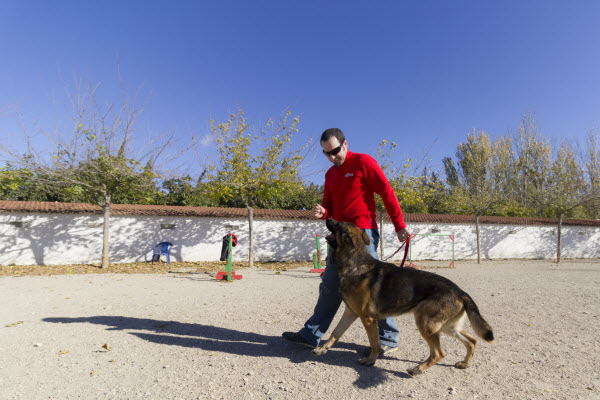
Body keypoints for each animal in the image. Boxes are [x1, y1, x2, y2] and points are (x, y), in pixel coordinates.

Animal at [312, 219, 494, 376]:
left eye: (337, 224)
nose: (327, 217)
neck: (355, 265)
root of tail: (460, 291)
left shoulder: (367, 319)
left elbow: (373, 343)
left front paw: (370, 360)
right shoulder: (350, 313)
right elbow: (335, 332)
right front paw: (323, 349)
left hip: (425, 323)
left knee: (439, 353)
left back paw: (418, 369)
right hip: (447, 327)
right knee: (472, 341)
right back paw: (465, 363)